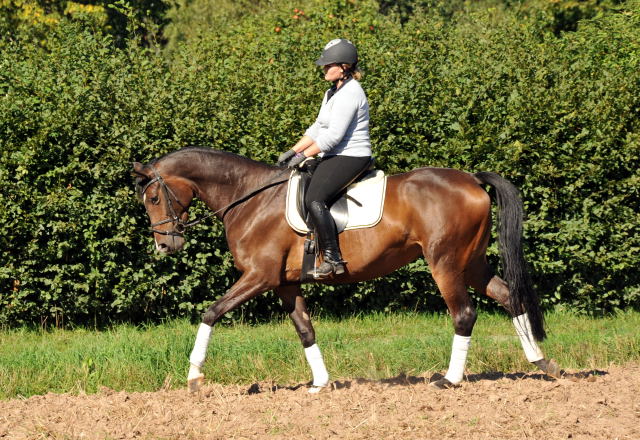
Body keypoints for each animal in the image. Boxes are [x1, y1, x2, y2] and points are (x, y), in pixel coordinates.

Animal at [132, 147, 556, 392]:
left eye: (153, 198)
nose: (164, 245)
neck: (248, 199)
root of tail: (471, 179)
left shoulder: (259, 277)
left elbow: (211, 312)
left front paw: (194, 376)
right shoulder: (284, 284)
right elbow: (305, 329)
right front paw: (320, 384)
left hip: (446, 263)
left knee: (464, 313)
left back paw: (449, 380)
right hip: (471, 263)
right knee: (509, 297)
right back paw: (541, 362)